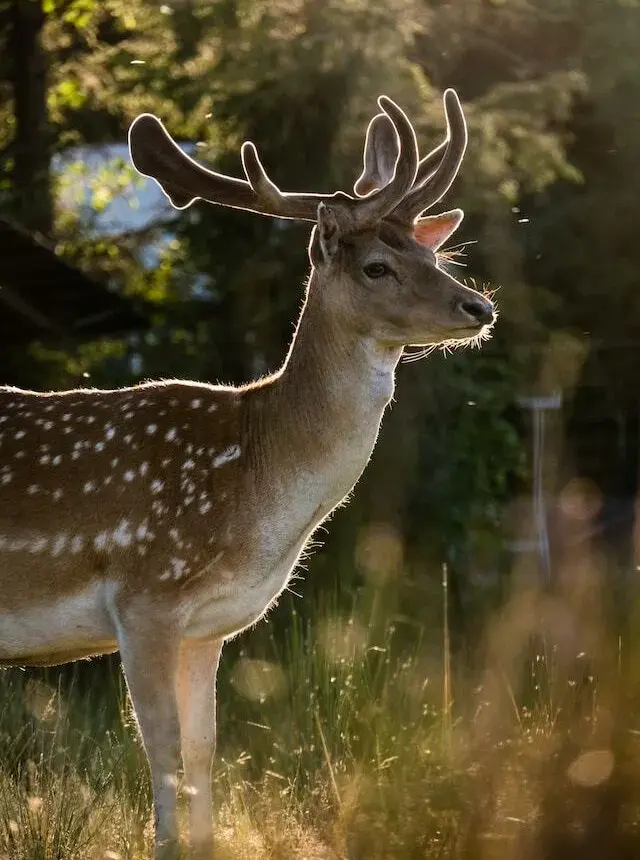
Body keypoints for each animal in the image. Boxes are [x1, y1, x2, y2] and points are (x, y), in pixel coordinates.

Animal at [0, 88, 494, 859]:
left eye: (431, 251)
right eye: (375, 266)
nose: (479, 307)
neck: (256, 496)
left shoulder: (209, 627)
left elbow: (205, 751)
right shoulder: (145, 595)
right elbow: (164, 751)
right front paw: (164, 844)